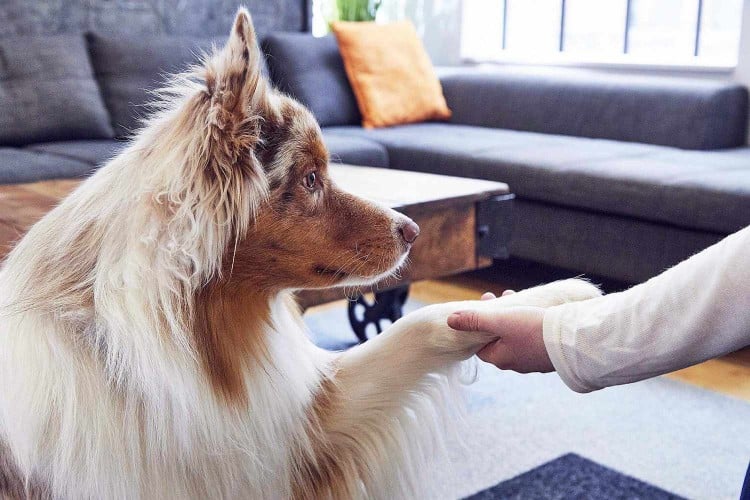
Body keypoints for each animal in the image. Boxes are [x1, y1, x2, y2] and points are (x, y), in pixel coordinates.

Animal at [0, 8, 604, 500]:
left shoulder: (296, 424)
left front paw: (559, 300)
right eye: (311, 178)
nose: (412, 229)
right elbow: (429, 318)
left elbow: (422, 326)